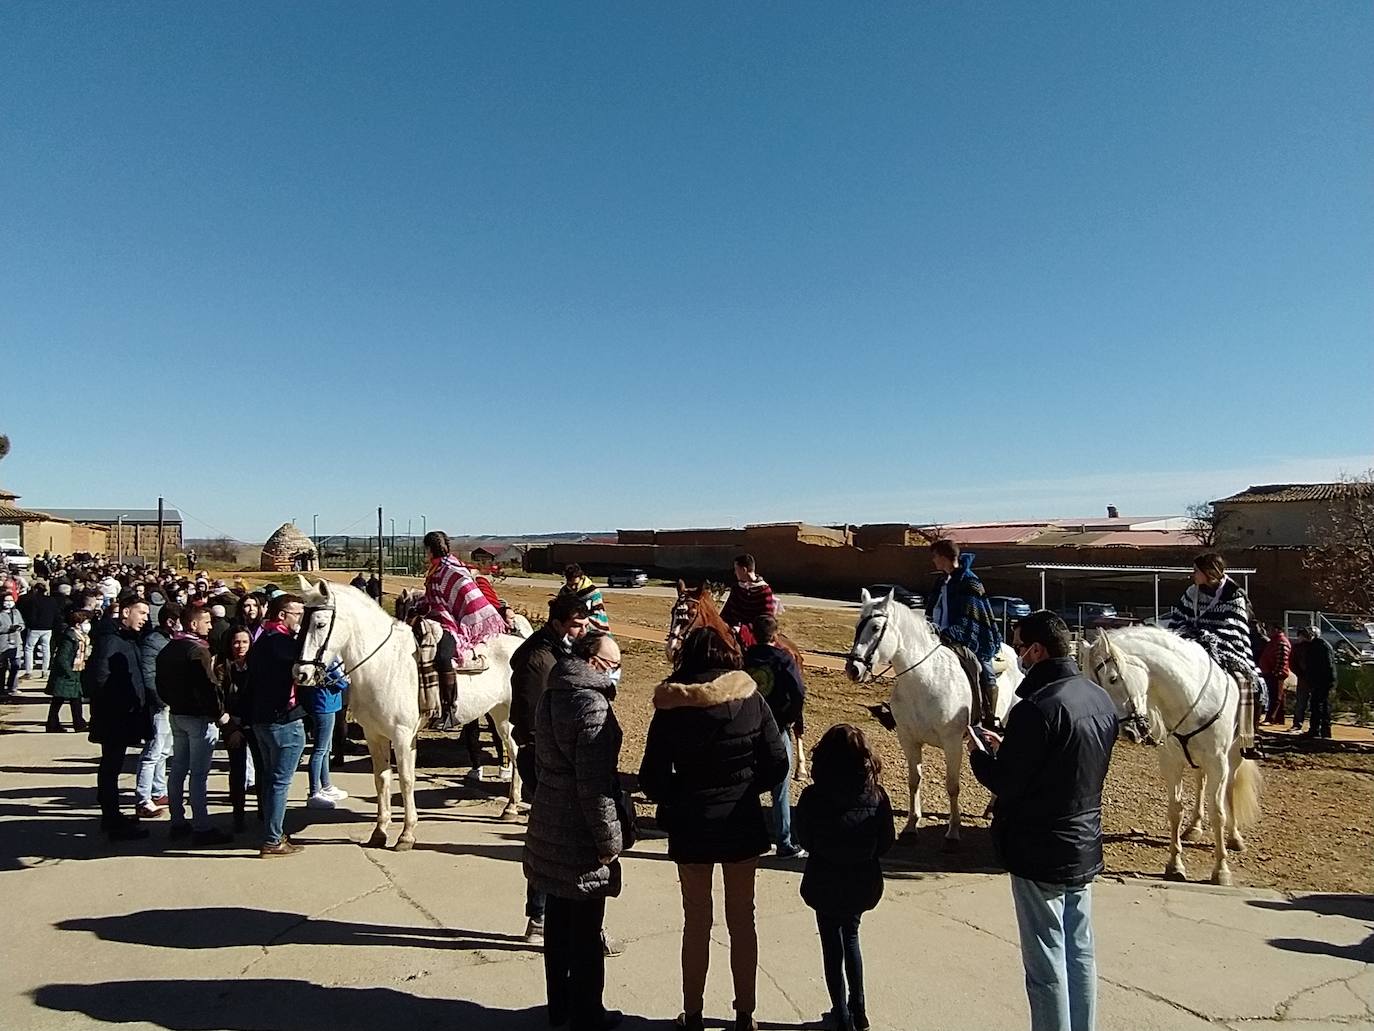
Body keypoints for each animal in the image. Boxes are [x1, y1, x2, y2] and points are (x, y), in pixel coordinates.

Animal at [840, 588, 1027, 846]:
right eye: (858, 625)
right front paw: (910, 825)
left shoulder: (952, 742)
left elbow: (952, 786)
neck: (925, 680)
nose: (853, 669)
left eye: (876, 627)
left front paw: (953, 832)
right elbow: (913, 781)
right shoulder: (908, 739)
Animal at [1082, 629, 1264, 890]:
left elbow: (1217, 812)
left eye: (1113, 679)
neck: (1191, 699)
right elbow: (1175, 810)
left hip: (1234, 754)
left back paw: (1234, 837)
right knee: (1200, 780)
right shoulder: (1171, 763)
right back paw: (1195, 827)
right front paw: (1175, 865)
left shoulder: (1218, 763)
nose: (1129, 732)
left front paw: (1221, 870)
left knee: (1228, 788)